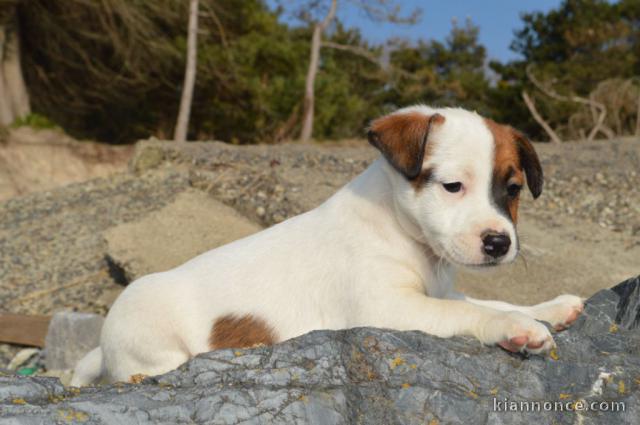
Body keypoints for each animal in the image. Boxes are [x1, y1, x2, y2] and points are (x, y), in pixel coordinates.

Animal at [71, 105, 584, 384]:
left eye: (512, 190)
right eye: (453, 186)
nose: (499, 242)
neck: (399, 229)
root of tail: (104, 344)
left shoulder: (442, 288)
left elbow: (489, 298)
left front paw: (550, 307)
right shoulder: (385, 309)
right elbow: (468, 312)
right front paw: (516, 327)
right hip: (152, 341)